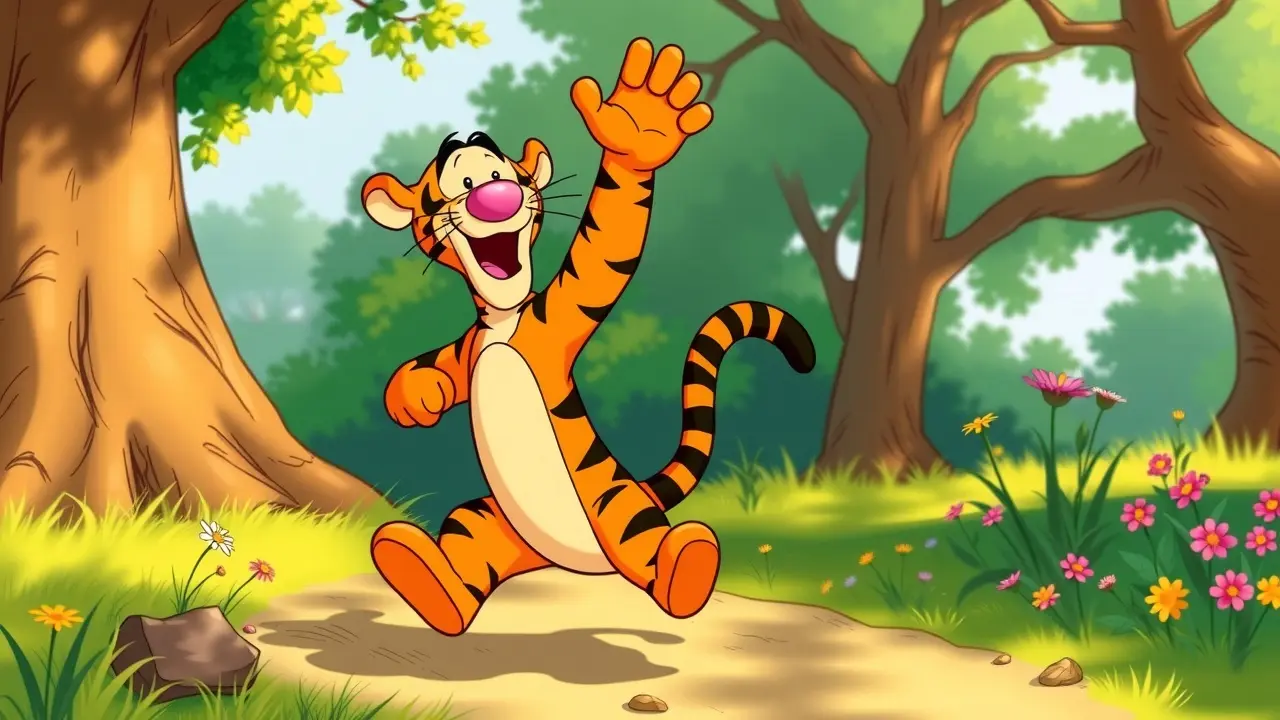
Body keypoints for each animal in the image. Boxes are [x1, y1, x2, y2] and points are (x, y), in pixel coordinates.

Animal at [359, 37, 815, 636]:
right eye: (459, 186)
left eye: (502, 172)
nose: (493, 188)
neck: (503, 320)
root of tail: (573, 561)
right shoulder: (468, 347)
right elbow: (436, 365)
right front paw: (416, 397)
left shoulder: (564, 308)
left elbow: (608, 239)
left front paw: (639, 125)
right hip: (494, 520)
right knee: (465, 536)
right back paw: (422, 576)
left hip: (615, 504)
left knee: (649, 542)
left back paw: (686, 568)